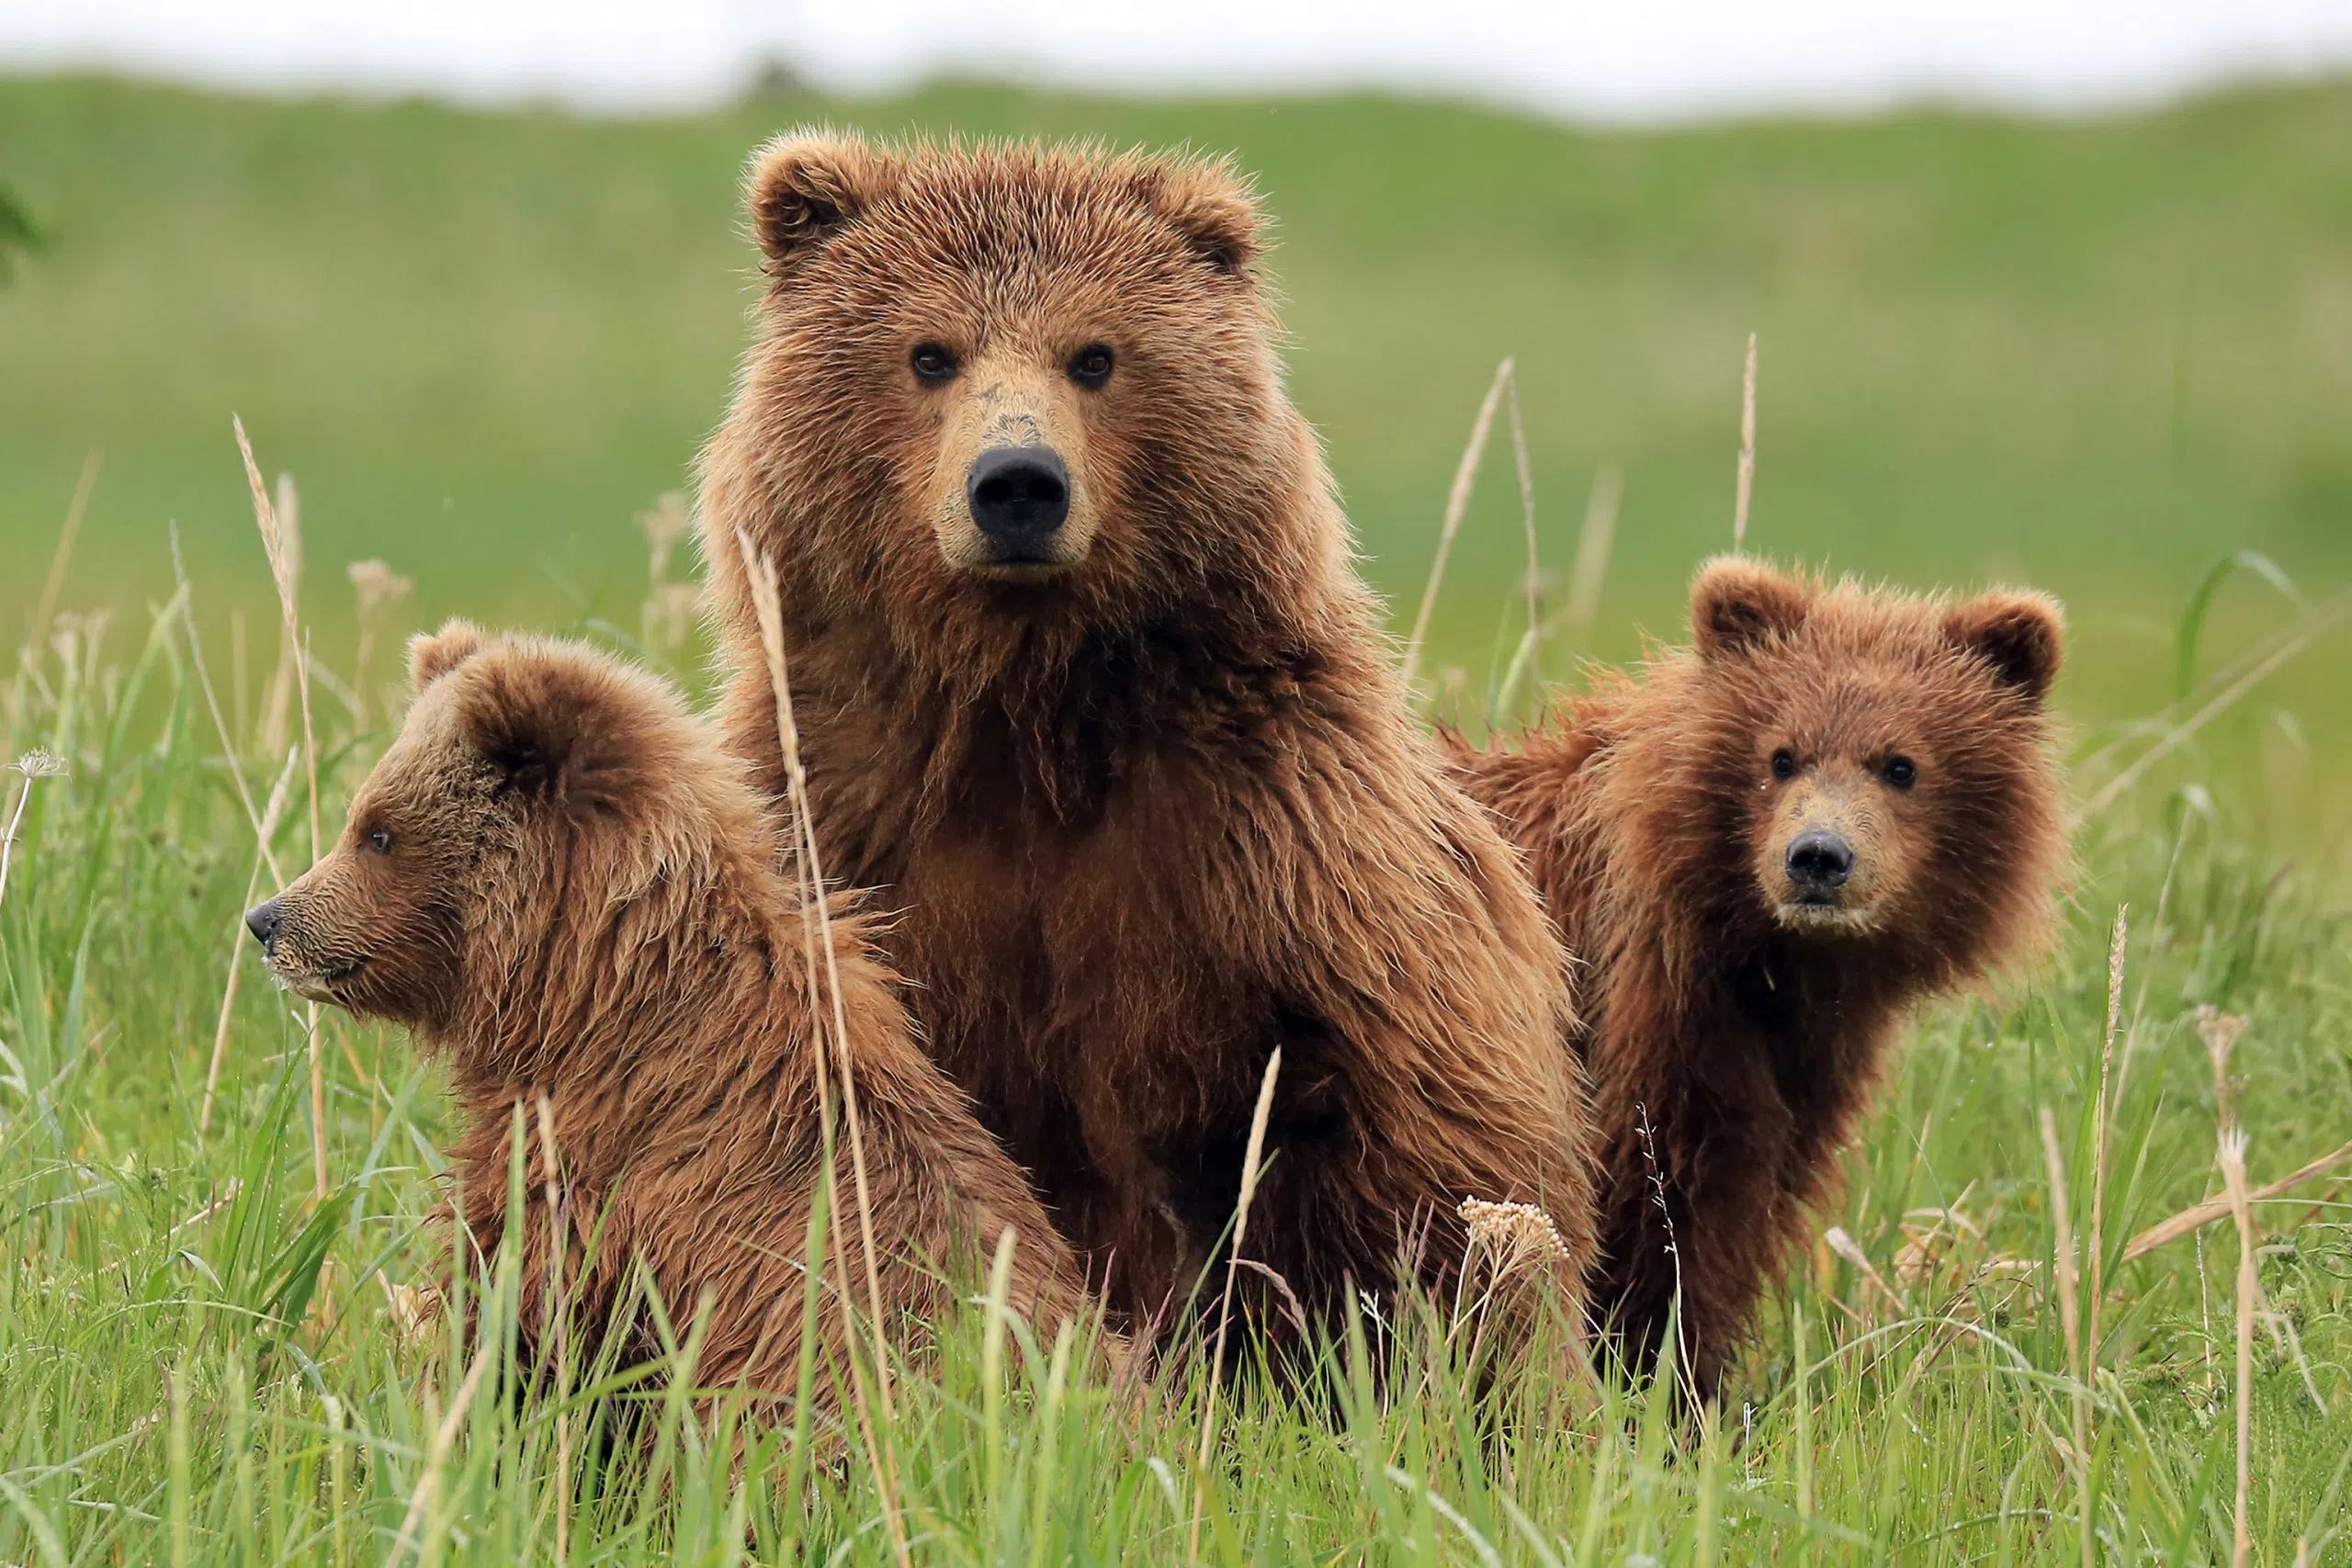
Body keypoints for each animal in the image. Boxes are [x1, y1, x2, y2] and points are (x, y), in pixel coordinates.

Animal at [693, 132, 1596, 1353]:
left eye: (1094, 355)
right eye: (929, 353)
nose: (1016, 484)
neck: (1025, 708)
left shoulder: (1280, 837)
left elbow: (1417, 1126)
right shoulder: (844, 811)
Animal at [1448, 556, 2067, 1400]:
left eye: (1900, 764)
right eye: (1782, 755)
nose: (1819, 856)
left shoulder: (1795, 1064)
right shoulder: (1647, 1023)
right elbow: (1659, 1204)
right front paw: (1656, 1378)